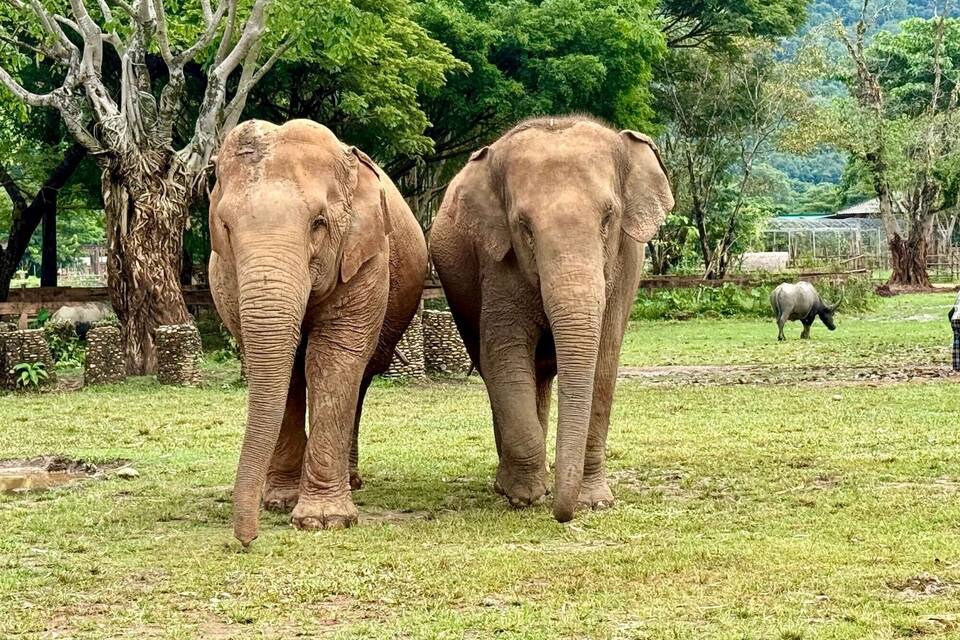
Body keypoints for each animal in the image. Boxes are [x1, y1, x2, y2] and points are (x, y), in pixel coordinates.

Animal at [209, 119, 428, 545]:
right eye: (225, 226)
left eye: (318, 223)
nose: (247, 540)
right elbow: (283, 371)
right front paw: (279, 501)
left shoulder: (366, 259)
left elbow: (332, 359)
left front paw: (324, 521)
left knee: (361, 378)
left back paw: (352, 481)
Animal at [430, 116, 674, 522]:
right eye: (524, 226)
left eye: (608, 217)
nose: (563, 516)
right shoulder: (497, 263)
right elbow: (504, 357)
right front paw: (525, 497)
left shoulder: (625, 264)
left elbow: (604, 364)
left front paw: (595, 502)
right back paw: (511, 483)